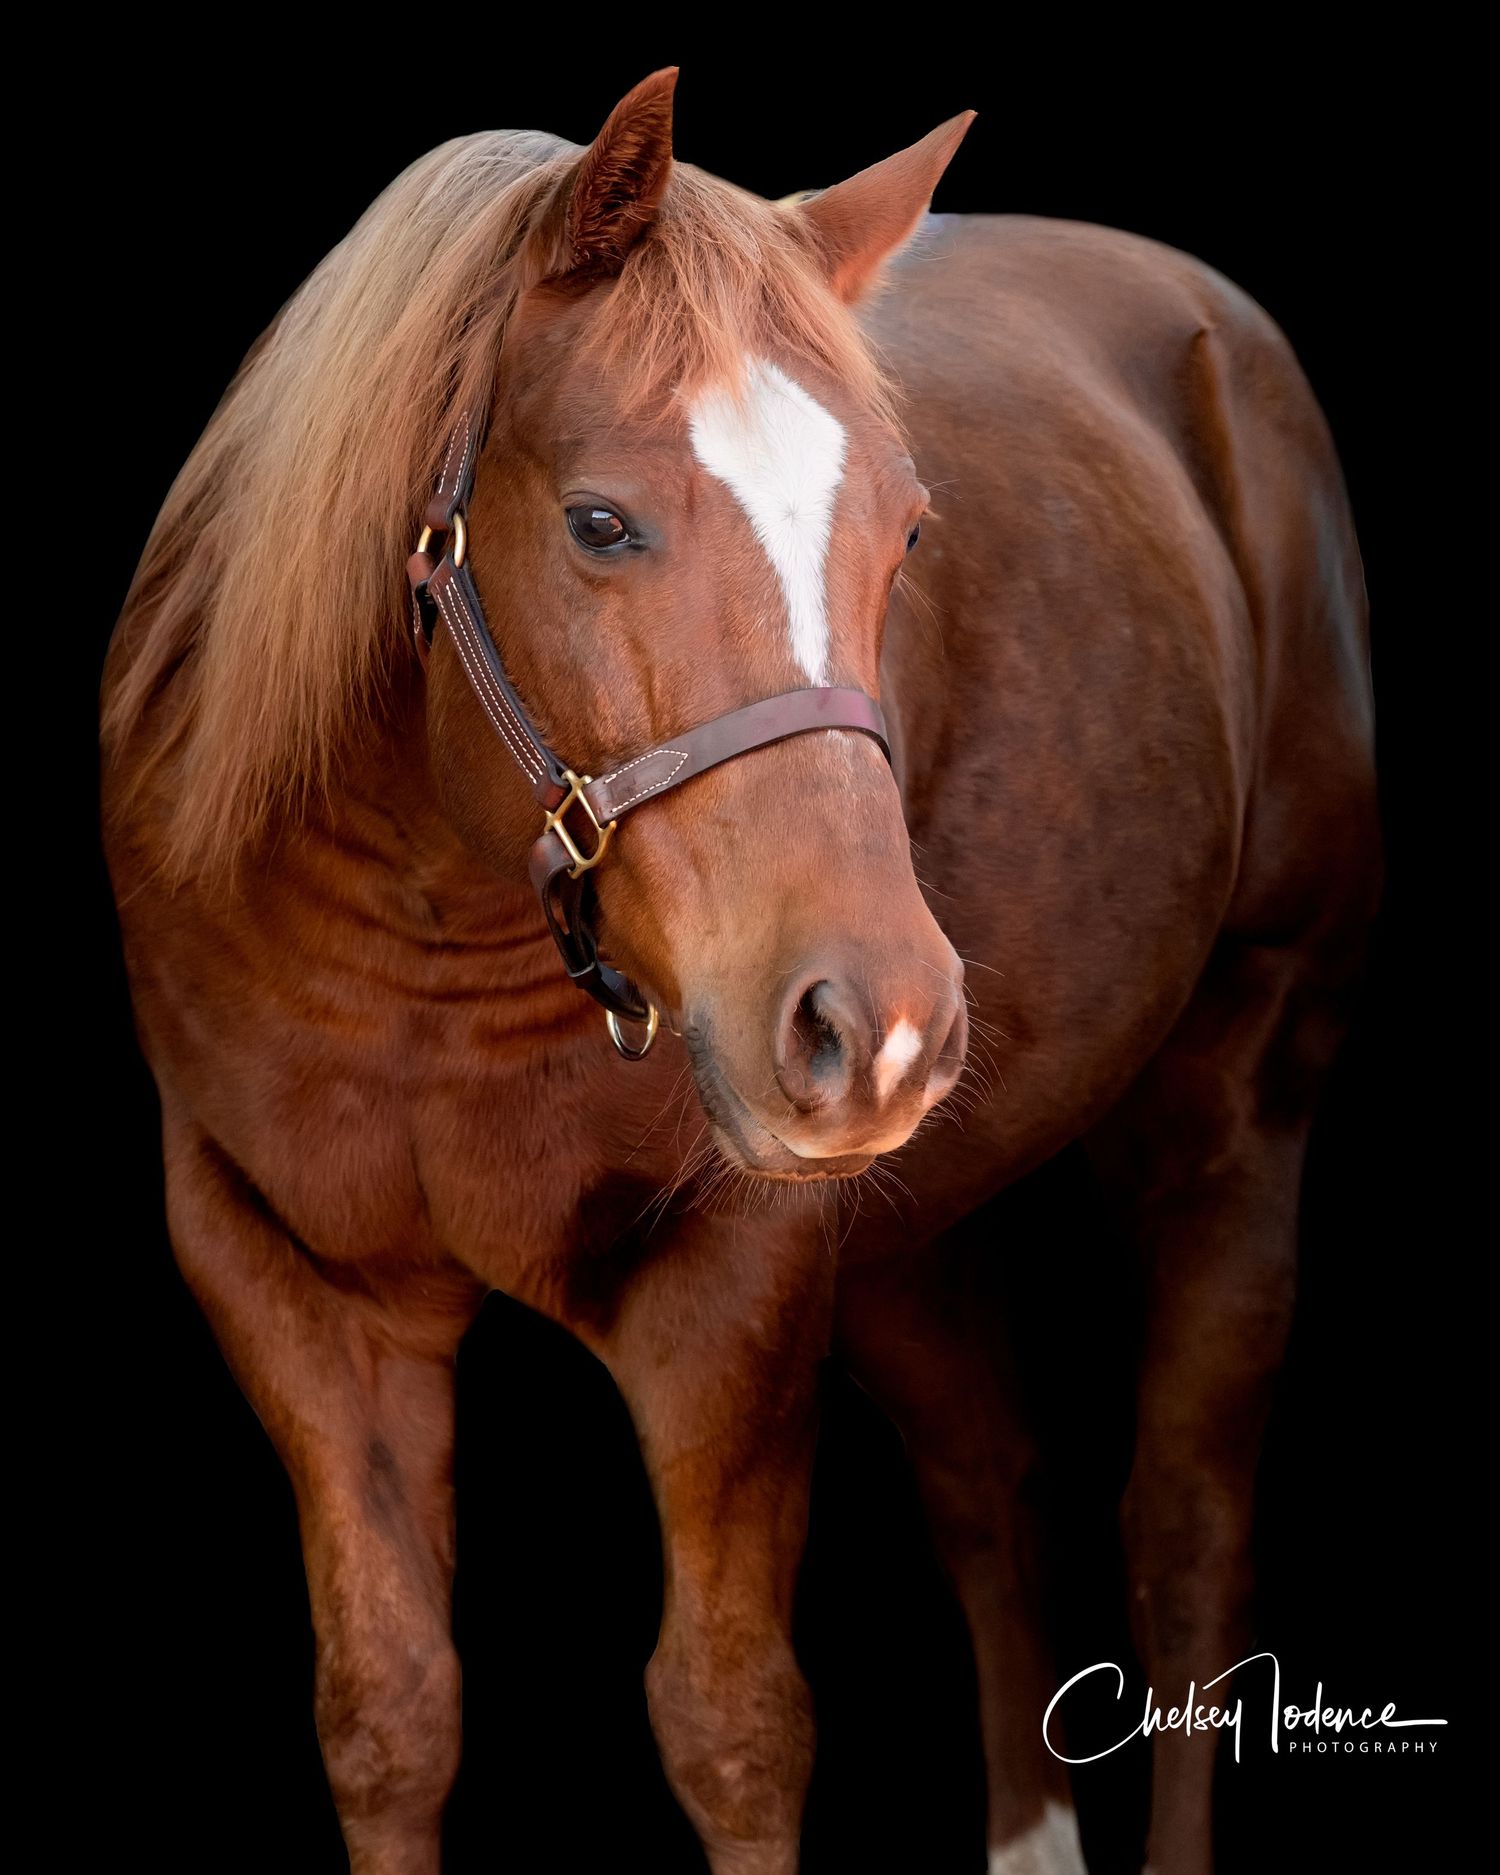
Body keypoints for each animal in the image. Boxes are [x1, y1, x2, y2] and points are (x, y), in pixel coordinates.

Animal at [100, 68, 1380, 1875]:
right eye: (599, 521)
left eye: (908, 532)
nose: (880, 1022)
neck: (429, 926)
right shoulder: (282, 1273)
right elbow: (391, 1715)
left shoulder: (733, 1278)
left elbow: (733, 1728)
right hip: (914, 1219)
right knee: (993, 1489)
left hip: (1242, 1092)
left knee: (1188, 1537)